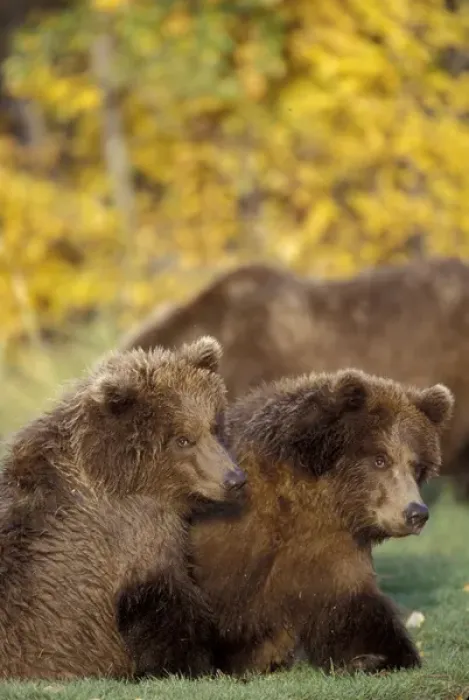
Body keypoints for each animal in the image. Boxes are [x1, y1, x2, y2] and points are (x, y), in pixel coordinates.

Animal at [184, 369, 453, 675]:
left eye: (416, 465)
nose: (416, 513)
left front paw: (374, 657)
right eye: (380, 458)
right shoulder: (233, 542)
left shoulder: (332, 550)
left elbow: (355, 612)